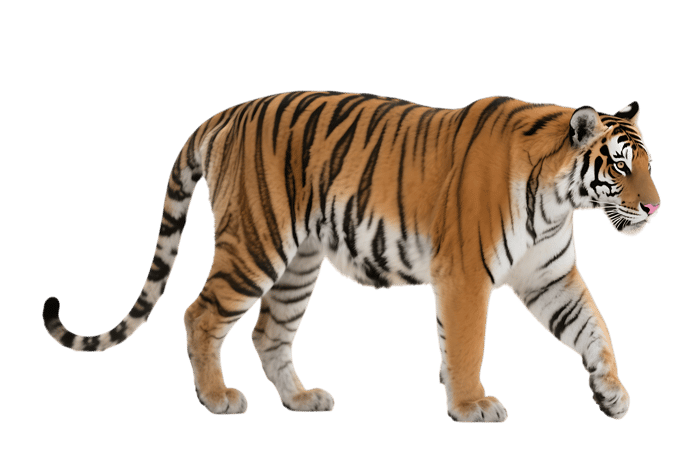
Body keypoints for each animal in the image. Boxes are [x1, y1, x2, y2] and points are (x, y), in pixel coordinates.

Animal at [42, 91, 661, 423]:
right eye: (621, 165)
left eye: (648, 164)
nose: (655, 207)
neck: (558, 200)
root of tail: (227, 112)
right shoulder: (465, 276)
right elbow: (466, 346)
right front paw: (471, 406)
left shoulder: (550, 277)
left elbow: (595, 329)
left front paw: (613, 395)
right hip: (256, 245)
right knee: (201, 314)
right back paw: (217, 398)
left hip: (298, 264)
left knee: (268, 332)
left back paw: (300, 398)